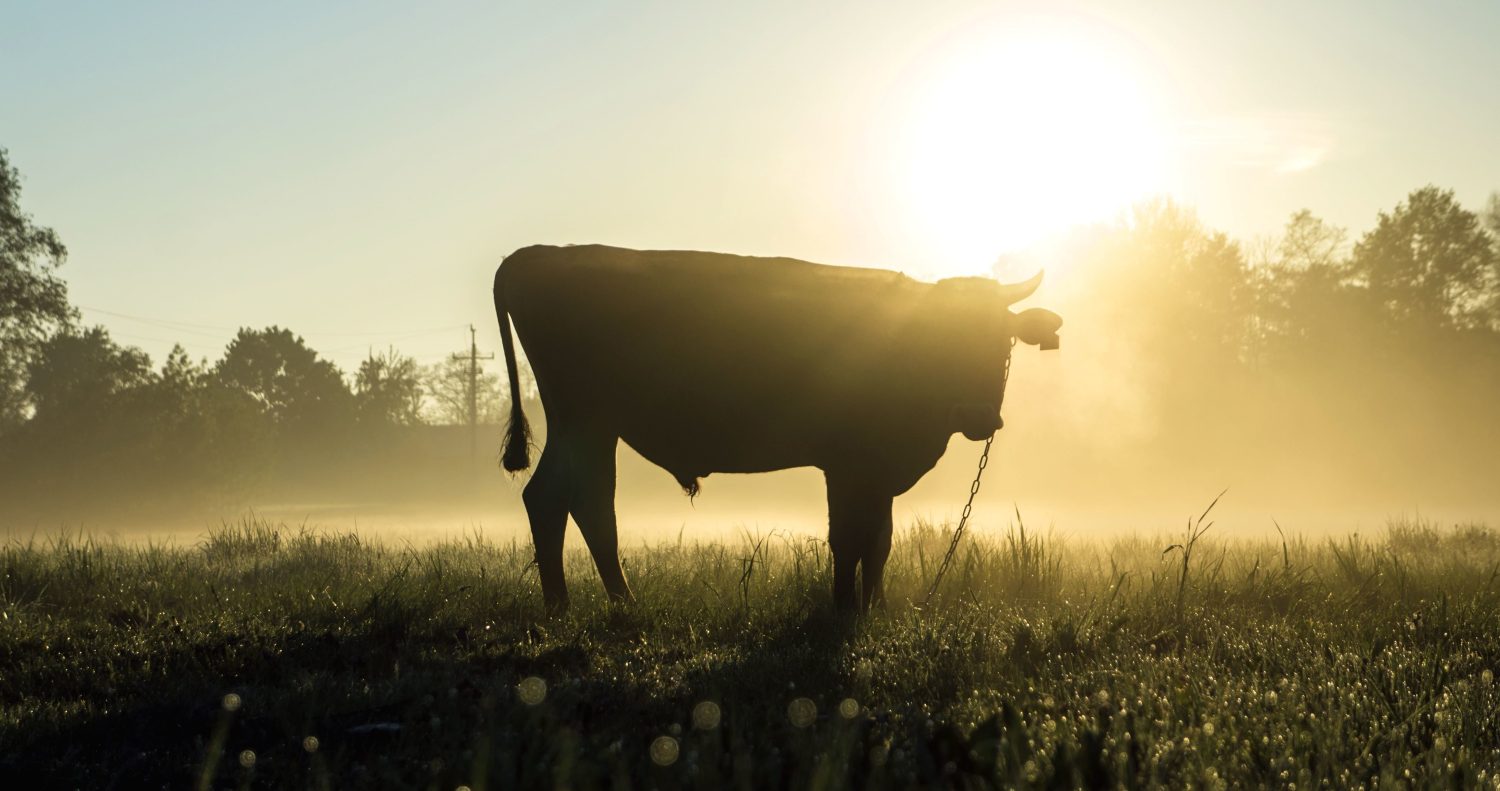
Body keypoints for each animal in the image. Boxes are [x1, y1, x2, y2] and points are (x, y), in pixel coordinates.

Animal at [489, 244, 1056, 615]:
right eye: (946, 335)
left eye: (1002, 338)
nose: (978, 415)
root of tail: (540, 253)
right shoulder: (848, 465)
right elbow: (848, 538)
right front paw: (844, 610)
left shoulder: (876, 472)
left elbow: (880, 540)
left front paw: (874, 607)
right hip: (584, 419)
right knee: (564, 499)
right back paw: (580, 608)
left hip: (589, 427)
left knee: (575, 501)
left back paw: (597, 604)